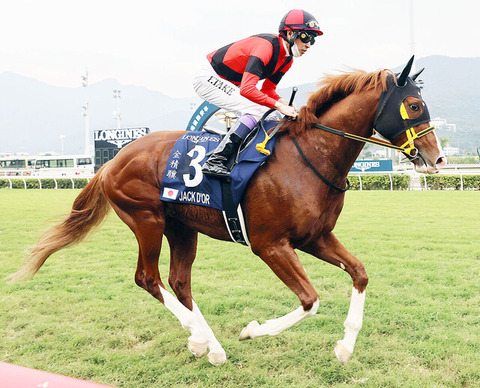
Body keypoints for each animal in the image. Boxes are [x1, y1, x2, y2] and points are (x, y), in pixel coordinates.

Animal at [11, 56, 446, 366]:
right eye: (413, 105)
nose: (437, 158)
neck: (309, 158)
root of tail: (112, 160)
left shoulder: (315, 237)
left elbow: (359, 273)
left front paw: (344, 347)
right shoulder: (270, 244)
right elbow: (309, 299)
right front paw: (253, 330)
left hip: (181, 227)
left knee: (179, 282)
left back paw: (208, 344)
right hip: (146, 219)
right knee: (148, 278)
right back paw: (201, 339)